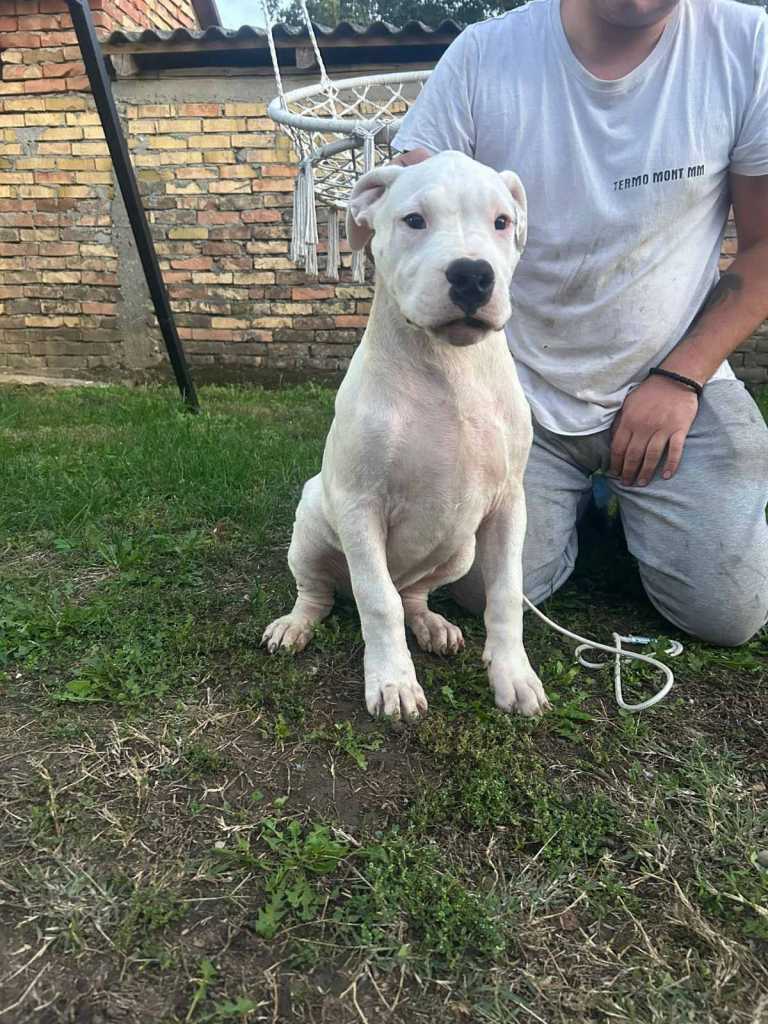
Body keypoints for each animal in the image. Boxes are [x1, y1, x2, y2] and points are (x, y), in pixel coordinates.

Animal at [262, 149, 548, 720]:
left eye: (502, 222)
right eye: (414, 220)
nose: (472, 275)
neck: (448, 366)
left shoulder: (509, 504)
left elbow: (506, 594)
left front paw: (513, 675)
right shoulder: (359, 504)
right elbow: (377, 601)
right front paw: (393, 682)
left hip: (459, 552)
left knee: (412, 594)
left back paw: (433, 625)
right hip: (311, 528)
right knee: (324, 591)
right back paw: (294, 626)